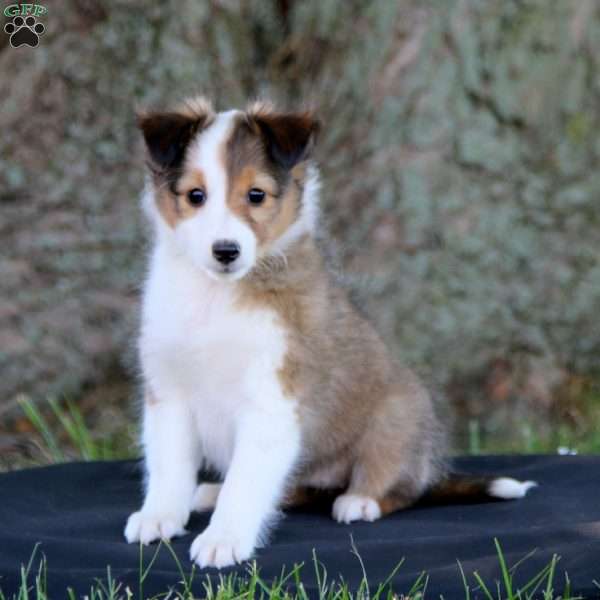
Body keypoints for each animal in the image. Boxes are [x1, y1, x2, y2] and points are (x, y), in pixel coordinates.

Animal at [123, 97, 536, 568]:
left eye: (256, 195)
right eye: (196, 196)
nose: (226, 251)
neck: (216, 297)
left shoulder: (272, 400)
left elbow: (246, 484)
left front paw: (223, 539)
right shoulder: (168, 392)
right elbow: (169, 468)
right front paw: (159, 518)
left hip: (397, 418)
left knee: (401, 487)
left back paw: (359, 501)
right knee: (291, 490)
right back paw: (210, 491)